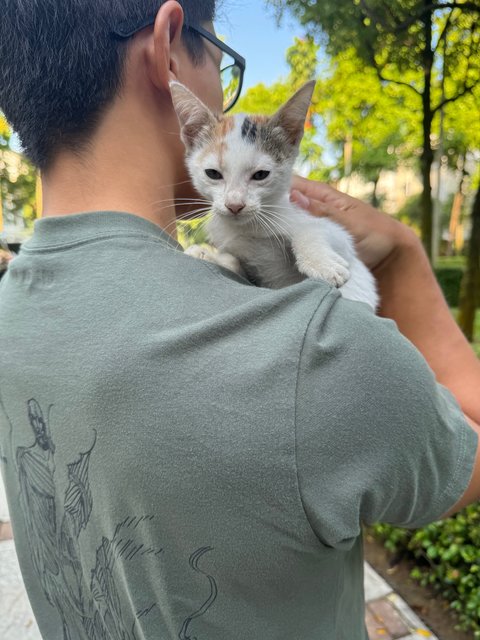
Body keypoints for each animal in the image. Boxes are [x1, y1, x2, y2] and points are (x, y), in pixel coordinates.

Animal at [169, 81, 378, 312]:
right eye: (213, 173)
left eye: (261, 175)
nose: (234, 205)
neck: (248, 229)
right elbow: (236, 264)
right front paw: (208, 255)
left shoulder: (340, 238)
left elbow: (313, 229)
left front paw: (322, 264)